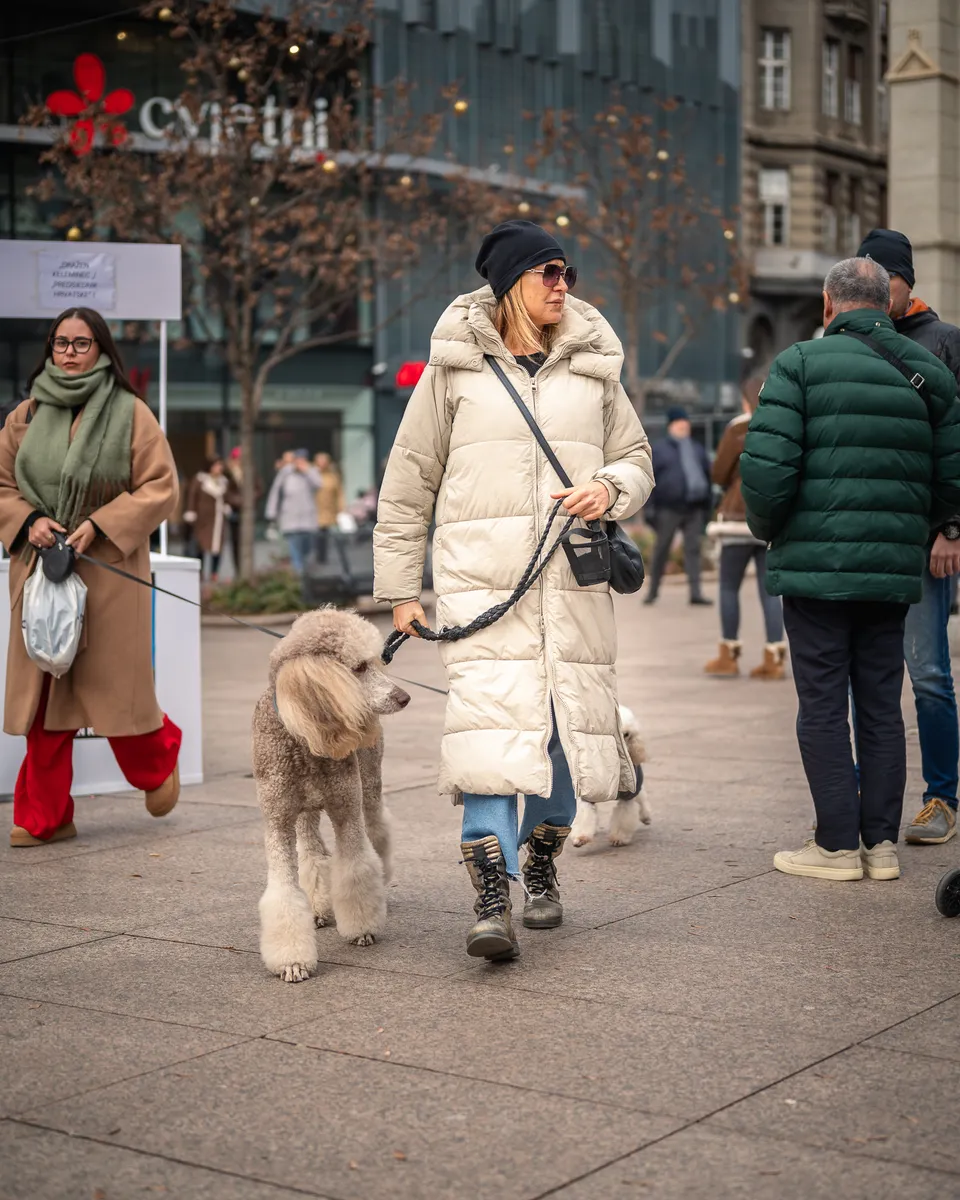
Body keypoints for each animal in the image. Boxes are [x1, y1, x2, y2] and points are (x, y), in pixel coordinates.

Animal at [571, 705, 652, 849]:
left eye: (627, 734)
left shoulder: (628, 796)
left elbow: (623, 817)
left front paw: (619, 838)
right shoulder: (587, 795)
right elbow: (584, 815)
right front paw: (580, 837)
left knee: (642, 797)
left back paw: (646, 816)